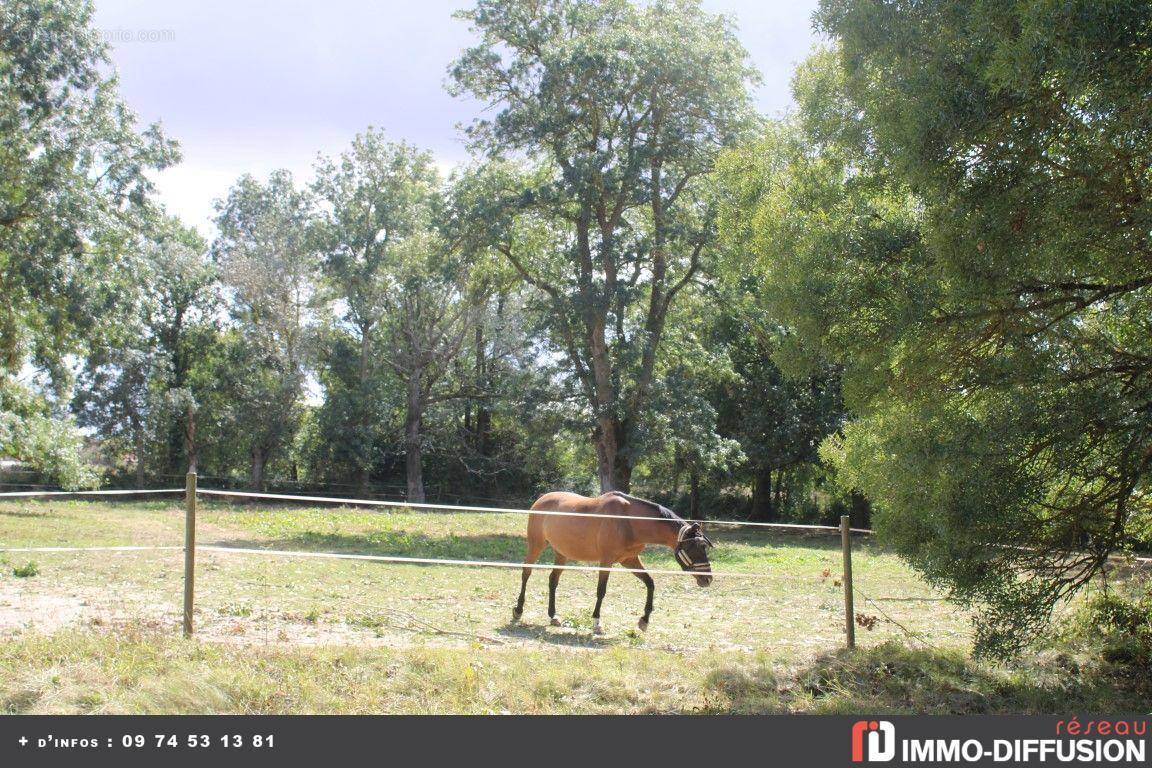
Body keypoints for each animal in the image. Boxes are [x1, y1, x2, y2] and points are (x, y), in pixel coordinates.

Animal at [511, 492, 709, 635]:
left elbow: (650, 583)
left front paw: (644, 621)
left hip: (562, 553)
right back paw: (518, 610)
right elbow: (601, 591)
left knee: (553, 580)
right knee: (526, 573)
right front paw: (596, 623)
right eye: (694, 547)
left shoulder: (629, 560)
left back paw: (553, 616)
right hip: (536, 545)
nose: (707, 579)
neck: (628, 521)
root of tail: (541, 499)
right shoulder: (606, 561)